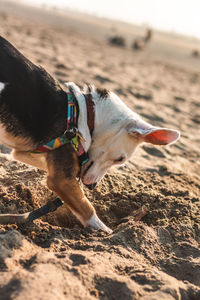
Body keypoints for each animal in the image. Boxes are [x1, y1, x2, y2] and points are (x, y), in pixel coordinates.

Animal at [0, 35, 180, 234]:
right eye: (120, 159)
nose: (92, 186)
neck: (84, 114)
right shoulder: (62, 180)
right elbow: (87, 209)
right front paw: (107, 233)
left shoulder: (27, 153)